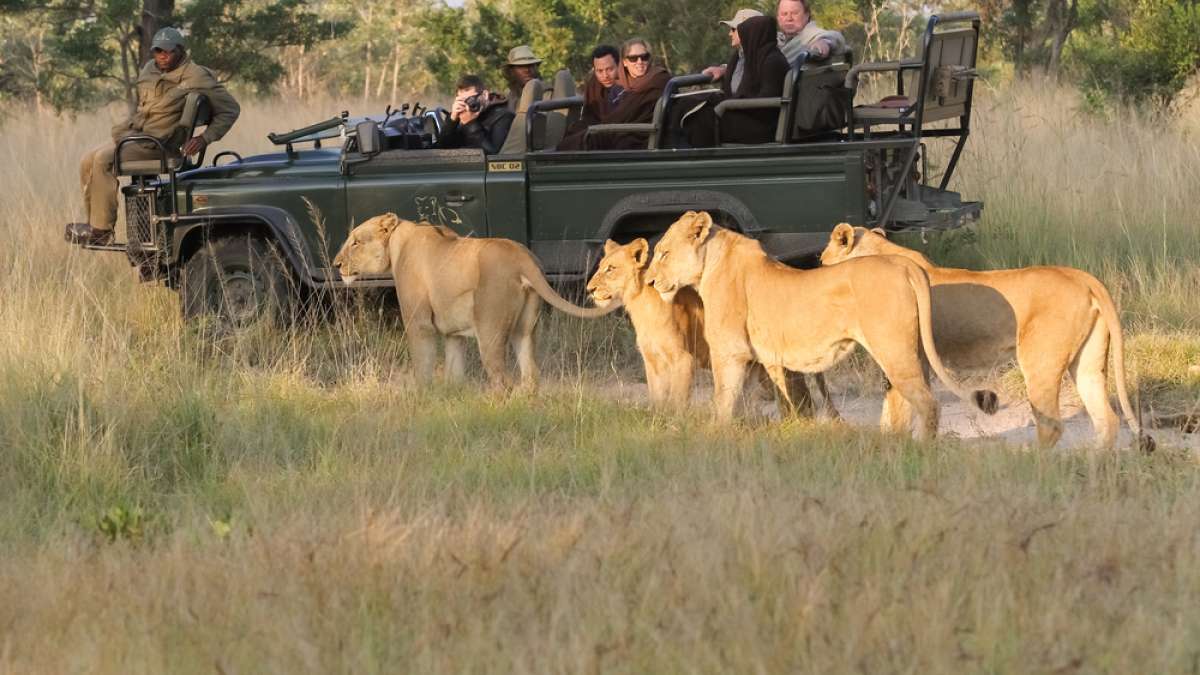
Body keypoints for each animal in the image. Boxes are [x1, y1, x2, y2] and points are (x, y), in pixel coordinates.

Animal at [333, 213, 616, 388]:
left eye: (355, 242)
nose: (335, 264)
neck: (397, 243)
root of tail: (522, 256)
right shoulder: (454, 334)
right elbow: (454, 374)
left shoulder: (419, 324)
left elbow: (422, 366)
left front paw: (422, 398)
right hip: (524, 330)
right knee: (530, 375)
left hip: (490, 330)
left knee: (502, 381)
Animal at [586, 238, 836, 416]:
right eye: (600, 267)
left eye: (611, 269)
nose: (589, 289)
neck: (638, 302)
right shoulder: (652, 361)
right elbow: (657, 400)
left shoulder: (682, 360)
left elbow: (677, 401)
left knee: (801, 400)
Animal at [644, 211, 998, 438]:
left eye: (663, 253)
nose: (649, 281)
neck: (710, 264)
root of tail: (906, 265)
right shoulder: (763, 358)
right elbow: (767, 400)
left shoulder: (730, 352)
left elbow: (723, 400)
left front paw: (715, 434)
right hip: (914, 352)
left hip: (894, 350)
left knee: (928, 403)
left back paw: (919, 451)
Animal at [820, 223, 1153, 451]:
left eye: (822, 262)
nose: (817, 268)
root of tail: (1084, 278)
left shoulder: (904, 352)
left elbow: (897, 408)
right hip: (1087, 362)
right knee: (1107, 419)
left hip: (1040, 360)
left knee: (1051, 425)